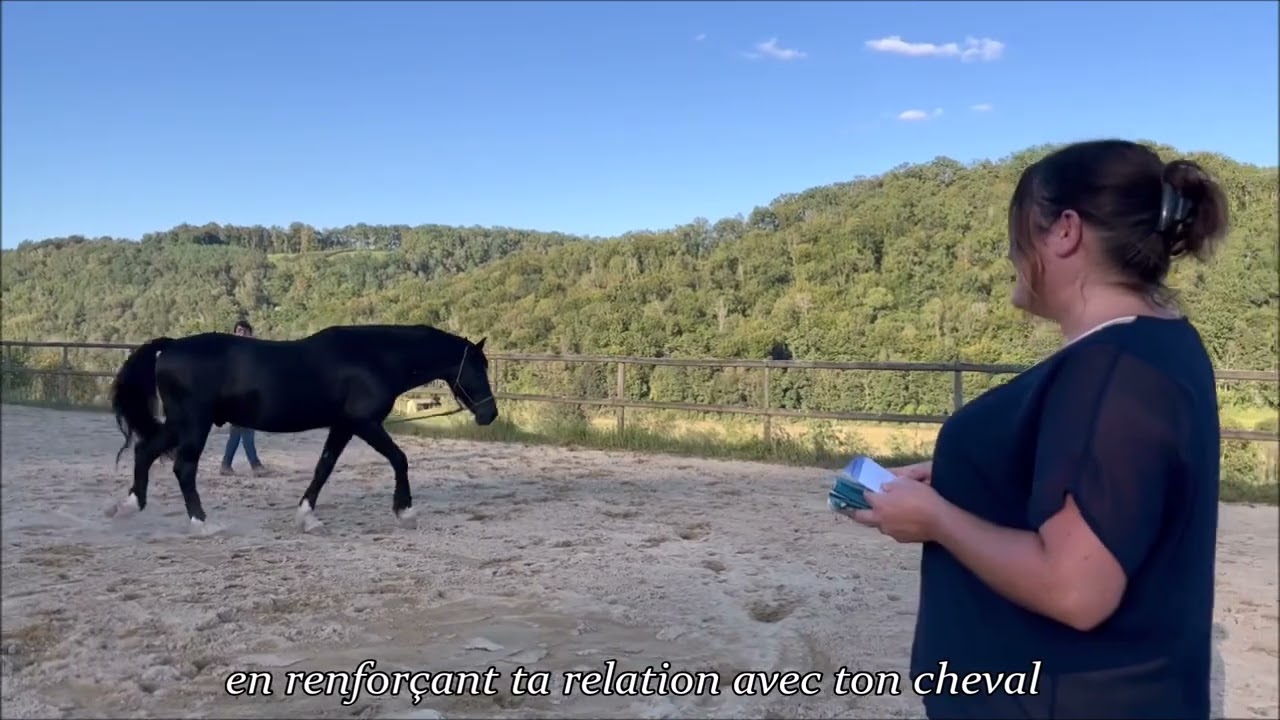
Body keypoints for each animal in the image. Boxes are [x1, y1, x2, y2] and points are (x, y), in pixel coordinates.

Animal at [105, 323, 498, 535]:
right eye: (478, 368)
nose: (490, 415)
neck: (374, 357)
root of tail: (169, 347)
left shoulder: (343, 425)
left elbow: (323, 468)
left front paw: (306, 516)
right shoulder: (365, 423)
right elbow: (399, 459)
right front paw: (405, 511)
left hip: (180, 424)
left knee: (145, 450)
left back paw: (128, 506)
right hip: (193, 424)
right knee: (183, 468)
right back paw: (202, 523)